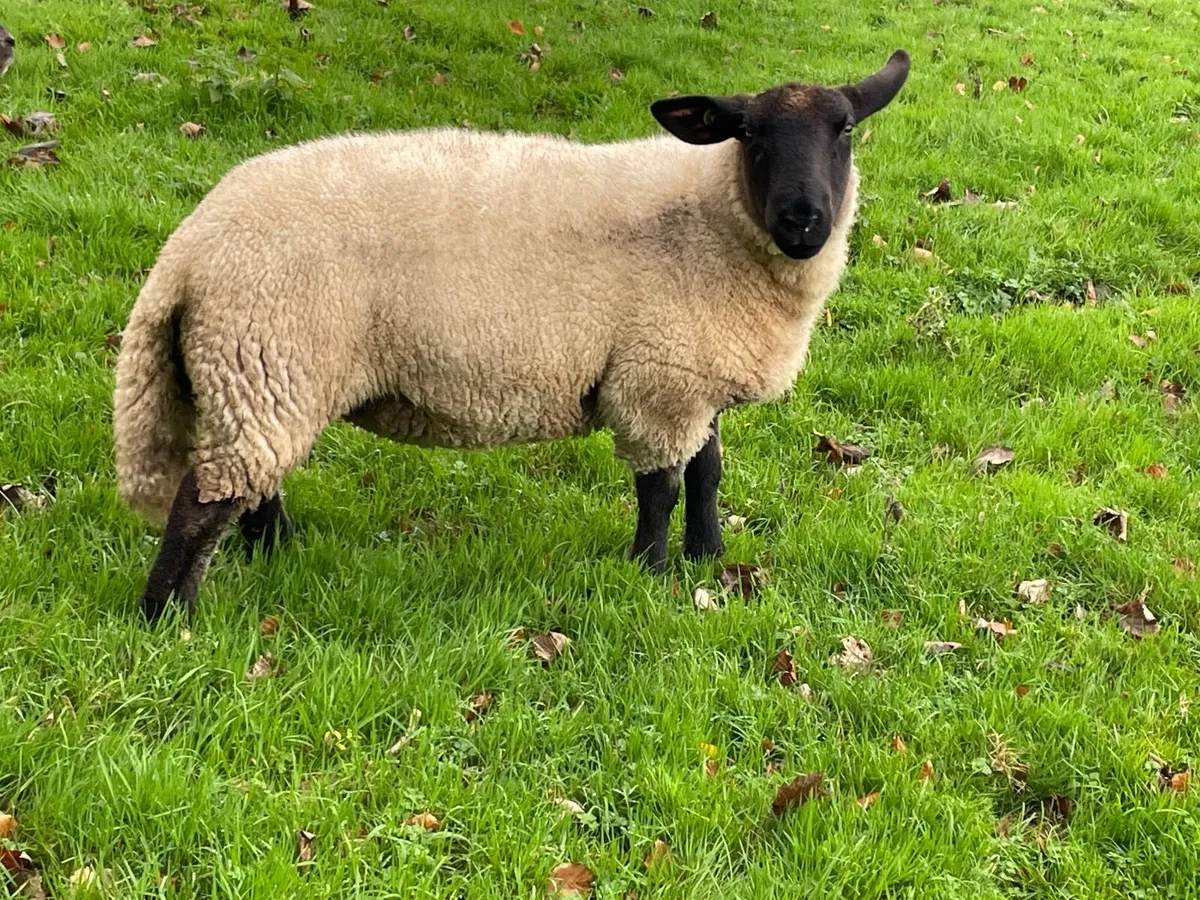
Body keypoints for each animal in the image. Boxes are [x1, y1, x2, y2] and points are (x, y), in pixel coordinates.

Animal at [114, 50, 910, 621]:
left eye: (844, 129)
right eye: (749, 135)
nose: (803, 220)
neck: (711, 222)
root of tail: (188, 247)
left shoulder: (690, 374)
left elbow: (707, 473)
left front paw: (707, 558)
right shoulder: (656, 380)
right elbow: (660, 485)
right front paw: (651, 572)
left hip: (265, 376)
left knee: (254, 482)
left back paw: (278, 553)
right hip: (262, 353)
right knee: (204, 504)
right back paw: (169, 618)